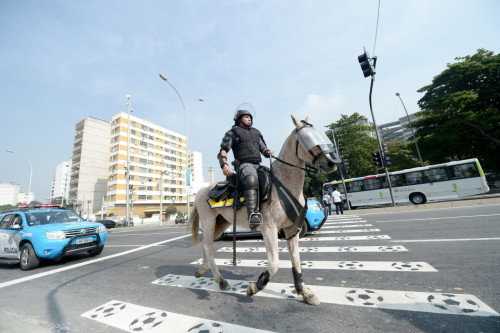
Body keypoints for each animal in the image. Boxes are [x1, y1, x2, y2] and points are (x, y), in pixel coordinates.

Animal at [188, 115, 340, 304]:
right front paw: (255, 287)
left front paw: (304, 292)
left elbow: (296, 260)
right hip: (209, 222)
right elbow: (274, 264)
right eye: (307, 137)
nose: (332, 162)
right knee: (208, 247)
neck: (283, 185)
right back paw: (221, 281)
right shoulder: (269, 228)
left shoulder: (292, 229)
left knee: (205, 246)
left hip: (221, 224)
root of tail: (202, 190)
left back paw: (202, 270)